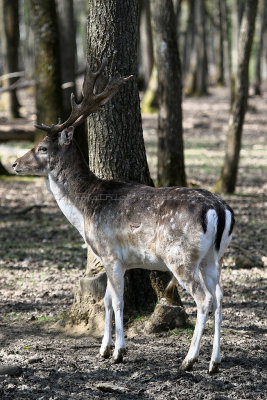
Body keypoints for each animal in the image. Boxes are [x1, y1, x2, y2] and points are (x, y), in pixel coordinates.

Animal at [13, 57, 234, 374]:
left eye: (42, 148)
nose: (15, 163)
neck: (85, 209)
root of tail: (220, 209)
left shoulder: (109, 253)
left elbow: (117, 302)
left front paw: (119, 351)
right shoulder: (119, 260)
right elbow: (105, 300)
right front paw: (103, 349)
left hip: (180, 256)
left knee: (204, 300)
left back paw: (189, 359)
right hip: (213, 257)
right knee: (220, 297)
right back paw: (214, 361)